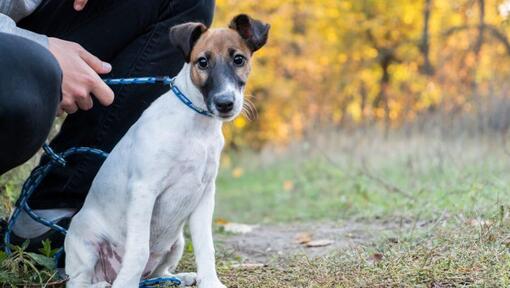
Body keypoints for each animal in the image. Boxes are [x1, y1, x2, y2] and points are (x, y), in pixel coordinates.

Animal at [63, 14, 268, 288]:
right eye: (202, 62)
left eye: (239, 60)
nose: (225, 103)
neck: (196, 128)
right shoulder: (144, 190)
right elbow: (139, 250)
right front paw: (126, 284)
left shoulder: (204, 195)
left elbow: (206, 246)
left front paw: (210, 281)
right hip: (86, 244)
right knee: (78, 281)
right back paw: (106, 283)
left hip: (176, 243)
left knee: (158, 272)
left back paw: (179, 276)